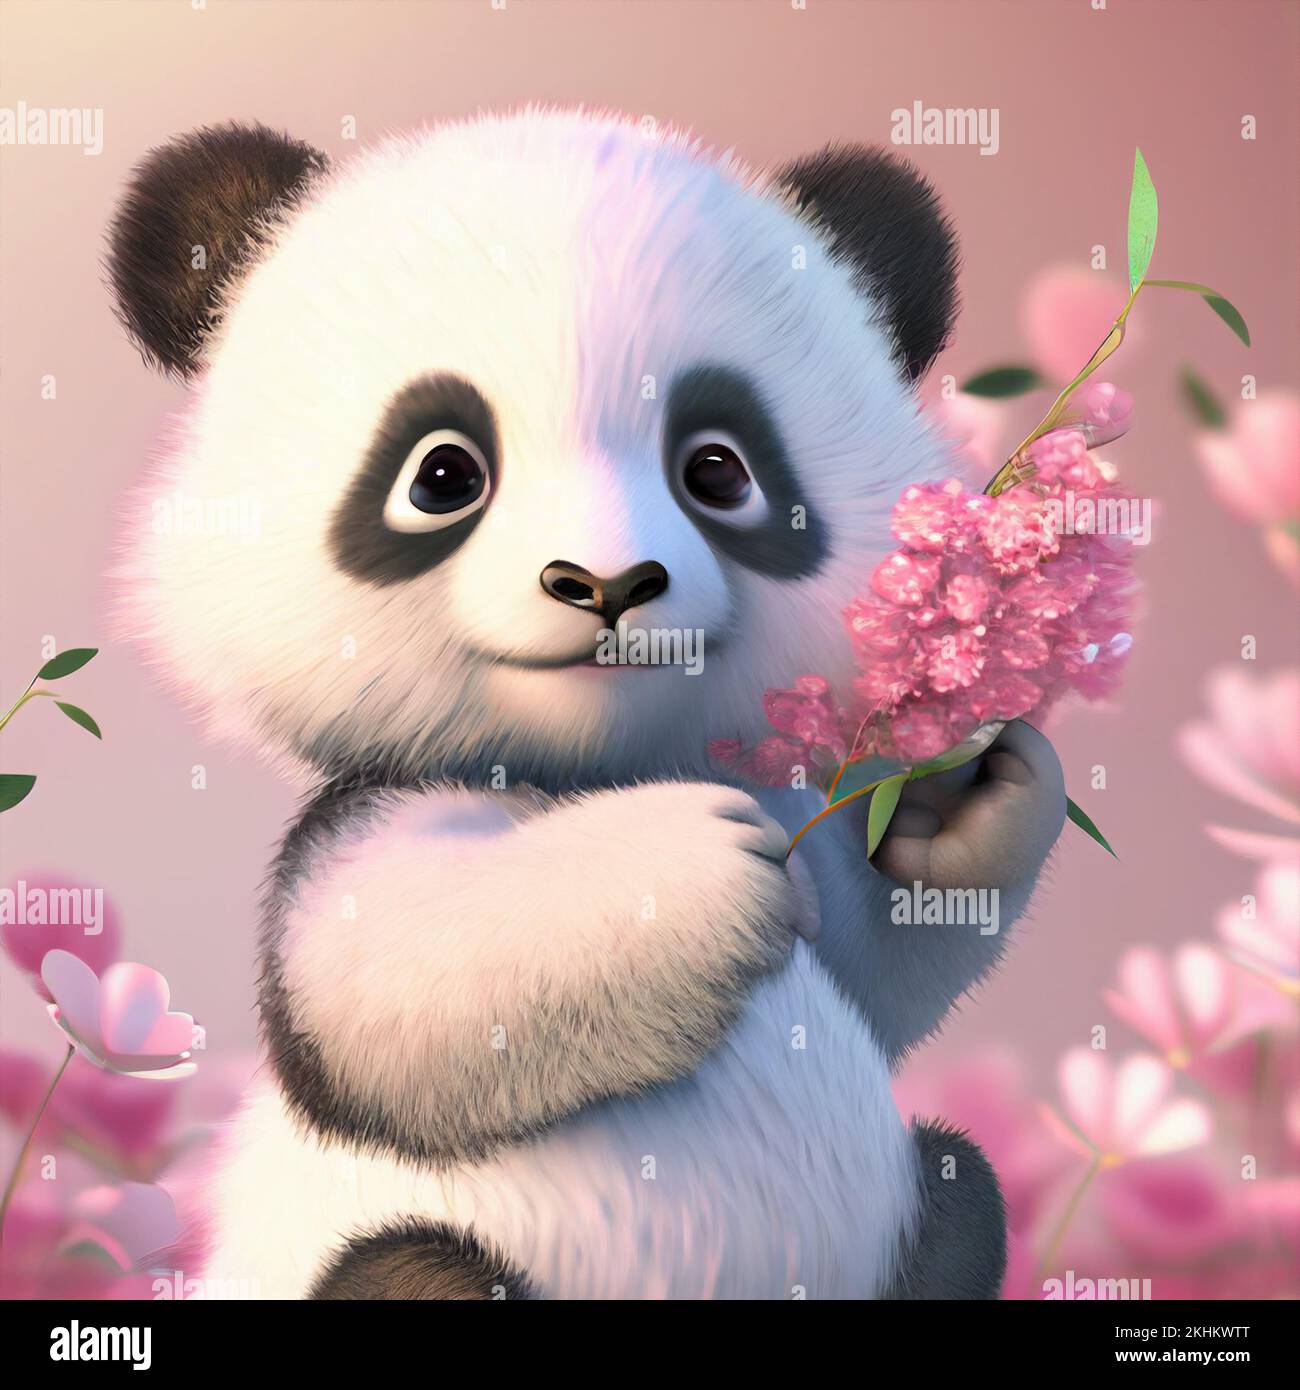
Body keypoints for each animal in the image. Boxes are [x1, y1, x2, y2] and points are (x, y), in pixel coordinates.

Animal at [108, 110, 1066, 1300]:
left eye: (719, 470)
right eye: (441, 474)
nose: (607, 584)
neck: (592, 771)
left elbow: (883, 968)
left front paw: (965, 789)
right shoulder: (363, 830)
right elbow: (406, 980)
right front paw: (690, 868)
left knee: (957, 1188)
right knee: (405, 1267)